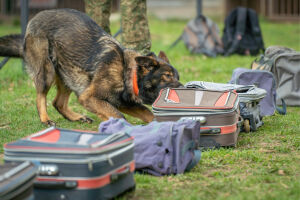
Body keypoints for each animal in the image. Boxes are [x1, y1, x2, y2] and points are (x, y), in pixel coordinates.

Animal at [0, 9, 182, 126]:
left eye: (177, 77)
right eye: (167, 76)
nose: (183, 88)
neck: (126, 72)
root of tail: (34, 19)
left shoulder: (123, 102)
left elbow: (147, 113)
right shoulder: (90, 97)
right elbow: (118, 116)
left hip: (70, 75)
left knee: (58, 102)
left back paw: (76, 117)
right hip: (48, 72)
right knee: (41, 97)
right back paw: (45, 119)